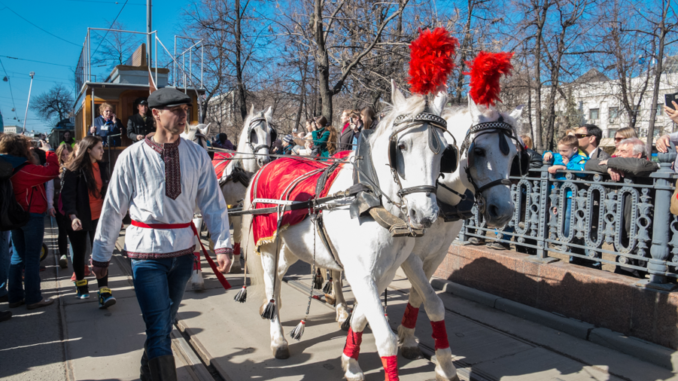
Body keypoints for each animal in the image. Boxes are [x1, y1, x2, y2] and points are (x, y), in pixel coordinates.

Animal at [244, 28, 462, 378]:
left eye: (445, 151)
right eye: (400, 147)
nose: (425, 214)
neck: (372, 205)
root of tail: (268, 164)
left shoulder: (381, 273)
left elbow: (362, 318)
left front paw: (350, 362)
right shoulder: (361, 273)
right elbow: (385, 339)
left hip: (291, 247)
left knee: (276, 279)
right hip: (269, 244)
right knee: (268, 280)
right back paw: (278, 339)